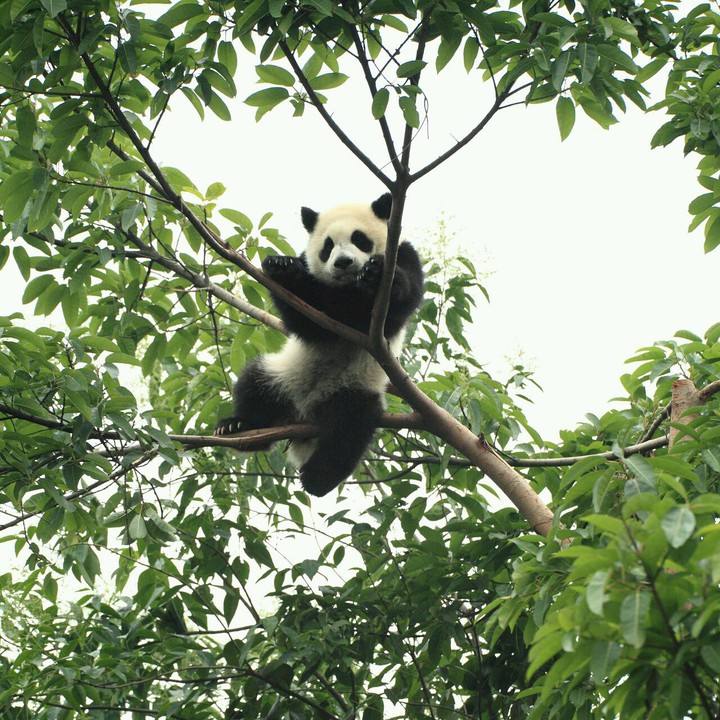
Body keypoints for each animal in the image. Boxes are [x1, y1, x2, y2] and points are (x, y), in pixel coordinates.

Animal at [215, 193, 424, 496]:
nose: (344, 262)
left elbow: (401, 301)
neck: (347, 288)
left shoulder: (403, 254)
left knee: (348, 430)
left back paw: (317, 478)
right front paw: (282, 267)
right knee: (255, 383)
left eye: (359, 238)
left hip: (351, 389)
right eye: (328, 246)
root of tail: (304, 415)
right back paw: (238, 427)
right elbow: (307, 318)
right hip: (283, 375)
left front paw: (376, 273)